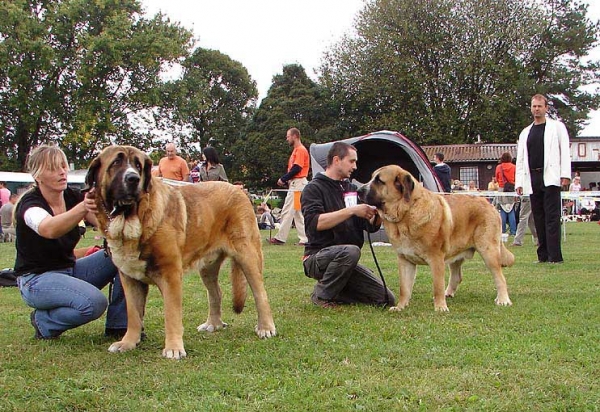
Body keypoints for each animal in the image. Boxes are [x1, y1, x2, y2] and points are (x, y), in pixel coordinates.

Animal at [85, 145, 276, 358]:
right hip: (208, 266)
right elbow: (133, 315)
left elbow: (171, 314)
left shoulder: (170, 276)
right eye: (116, 163)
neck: (132, 221)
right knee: (216, 292)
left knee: (260, 293)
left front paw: (174, 348)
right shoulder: (130, 278)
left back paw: (266, 328)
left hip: (247, 255)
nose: (133, 178)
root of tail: (237, 189)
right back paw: (213, 324)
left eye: (138, 165)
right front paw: (127, 343)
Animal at [358, 164, 512, 312]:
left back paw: (503, 300)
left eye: (379, 181)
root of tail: (489, 204)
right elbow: (404, 288)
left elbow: (437, 285)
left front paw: (440, 307)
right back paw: (448, 293)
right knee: (457, 276)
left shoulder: (436, 258)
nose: (359, 190)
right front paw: (400, 307)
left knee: (500, 277)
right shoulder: (405, 260)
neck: (406, 214)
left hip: (488, 251)